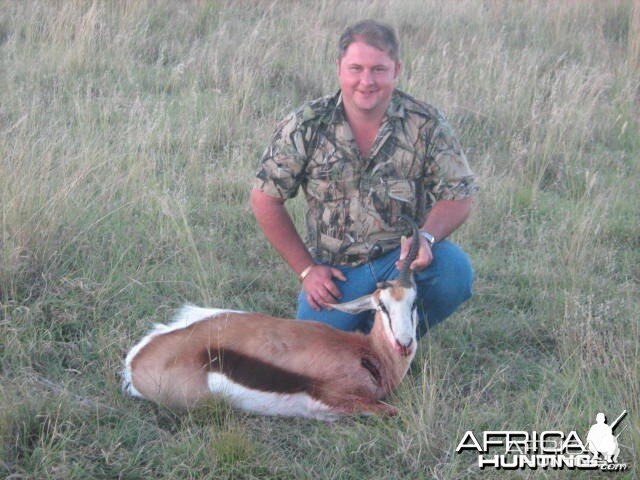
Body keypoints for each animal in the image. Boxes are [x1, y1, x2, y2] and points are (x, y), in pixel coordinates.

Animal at [124, 218, 424, 420]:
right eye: (382, 306)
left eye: (414, 302)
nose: (404, 343)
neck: (369, 354)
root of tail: (135, 362)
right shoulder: (333, 401)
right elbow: (391, 410)